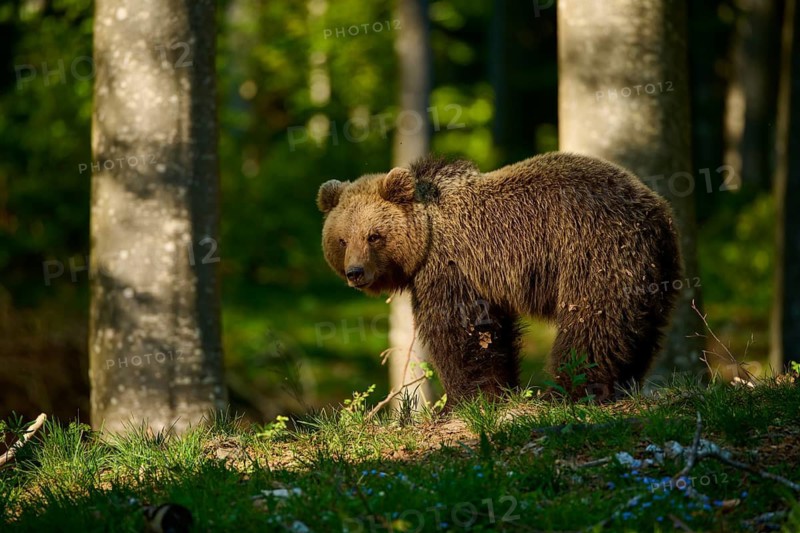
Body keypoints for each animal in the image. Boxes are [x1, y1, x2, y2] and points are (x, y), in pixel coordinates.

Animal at [317, 152, 681, 404]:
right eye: (342, 239)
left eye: (373, 236)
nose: (355, 272)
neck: (425, 241)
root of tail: (658, 210)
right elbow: (492, 332)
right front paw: (497, 391)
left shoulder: (452, 268)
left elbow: (461, 332)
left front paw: (466, 399)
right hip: (652, 271)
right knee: (637, 326)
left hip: (594, 253)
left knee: (592, 323)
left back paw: (566, 390)